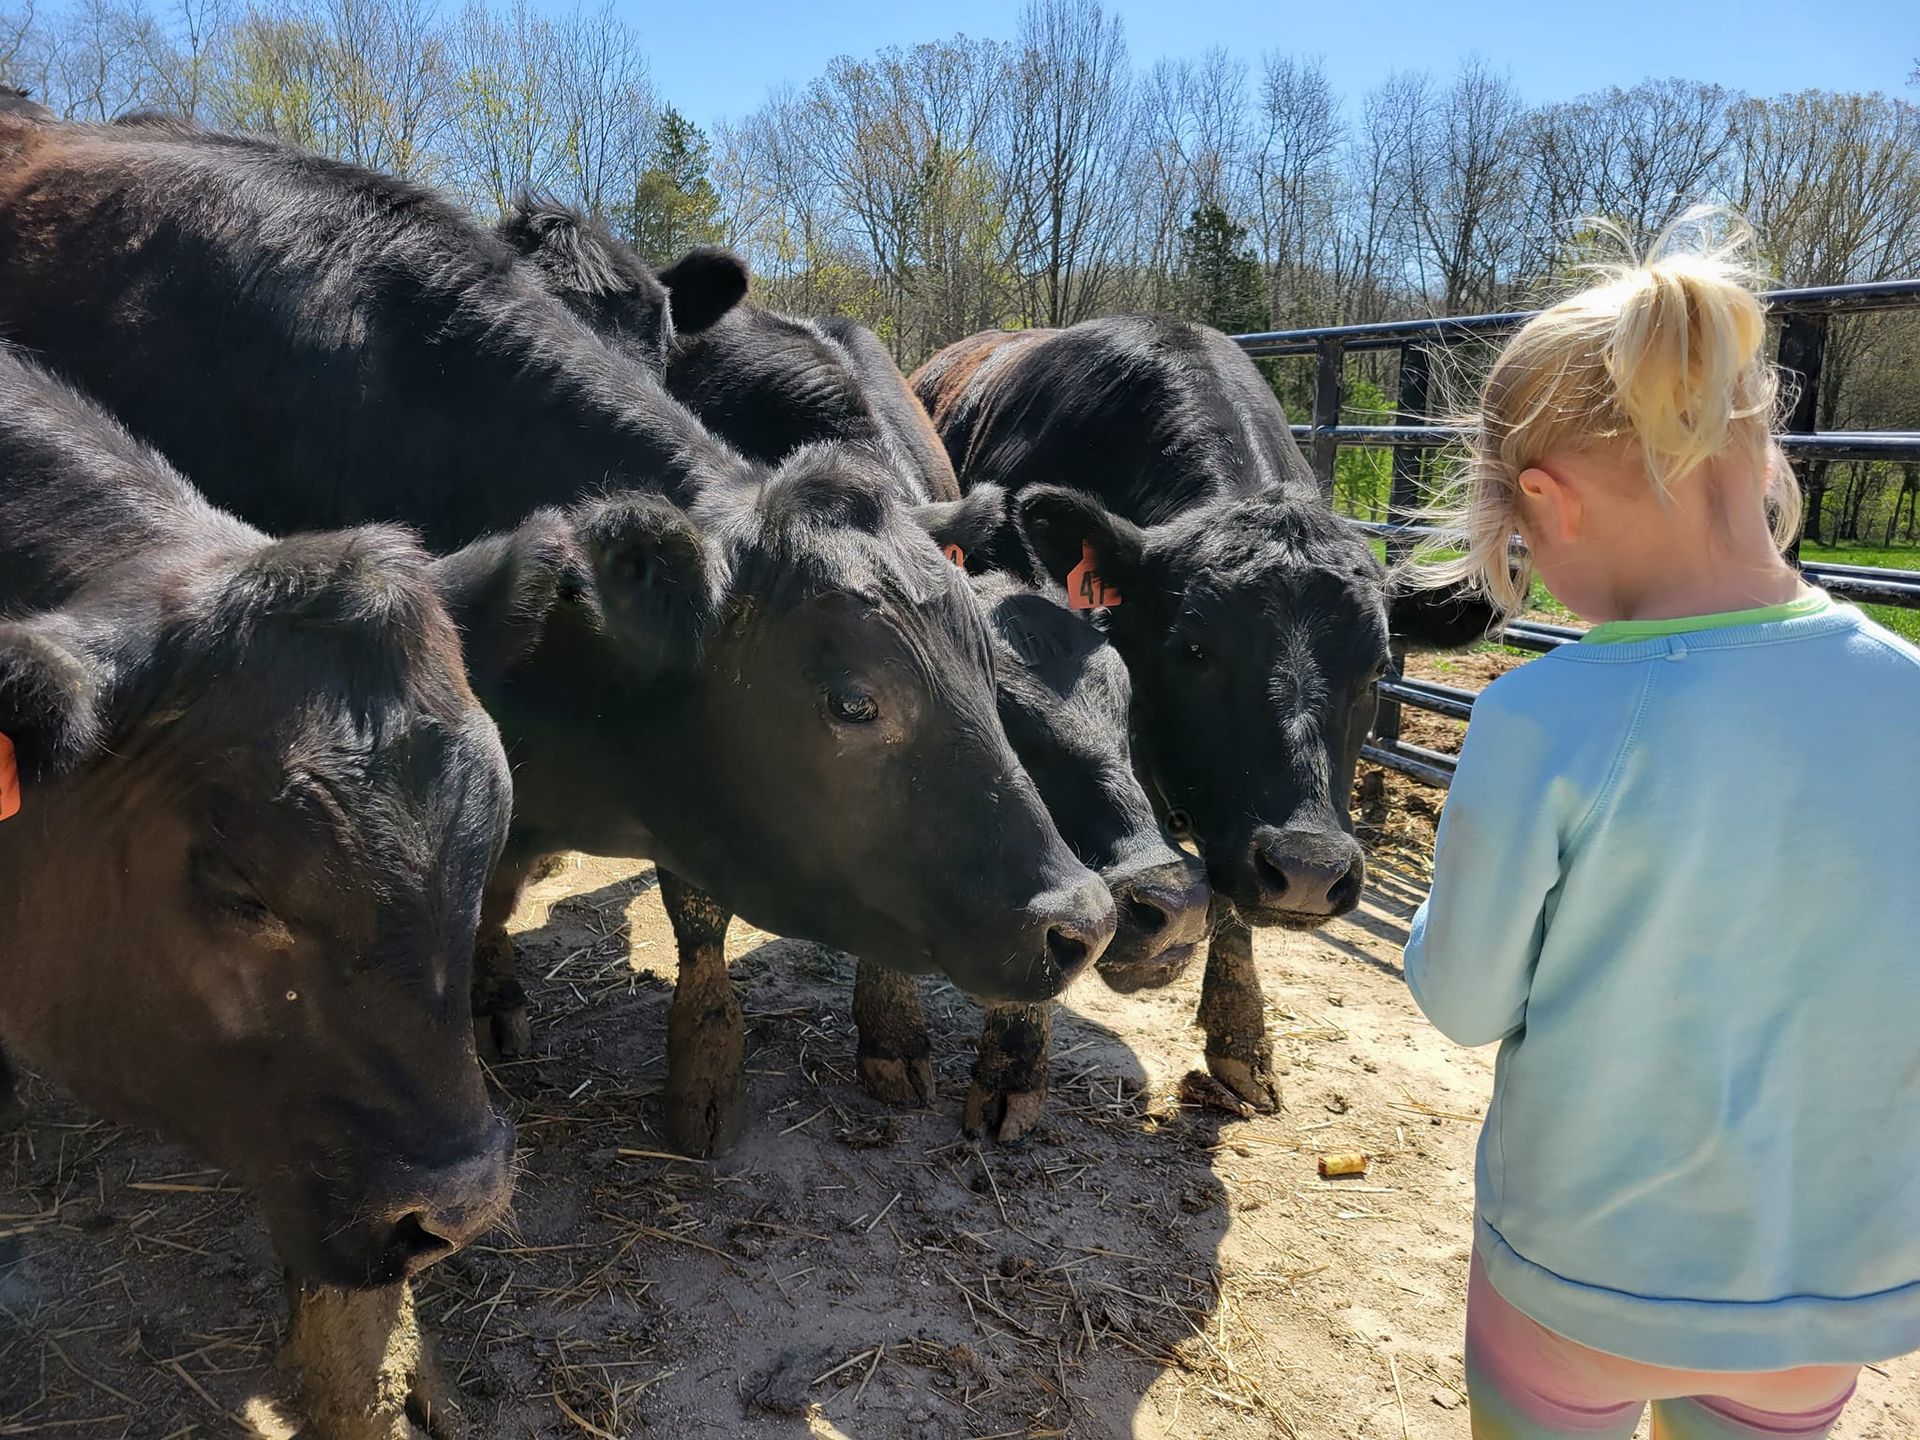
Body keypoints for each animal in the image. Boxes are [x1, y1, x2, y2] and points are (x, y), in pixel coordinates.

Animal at [491, 198, 1210, 1138]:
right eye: (1009, 719)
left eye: (1127, 701)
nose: (1175, 908)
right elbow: (698, 909)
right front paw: (712, 1066)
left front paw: (988, 1060)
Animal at [912, 319, 1495, 1111]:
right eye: (1193, 649)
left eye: (1379, 668)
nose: (1309, 869)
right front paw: (1013, 1061)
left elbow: (1228, 905)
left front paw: (1242, 1040)